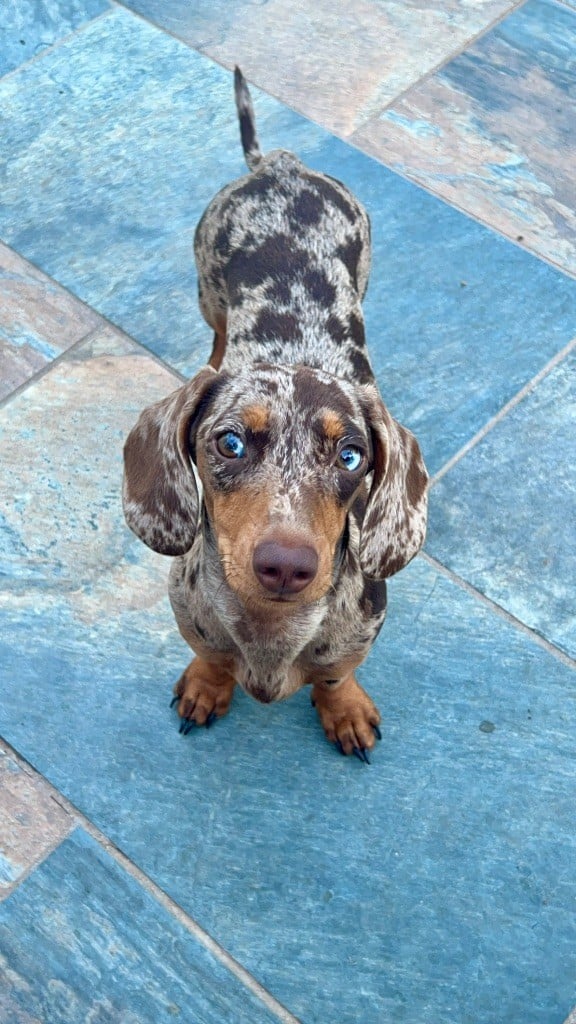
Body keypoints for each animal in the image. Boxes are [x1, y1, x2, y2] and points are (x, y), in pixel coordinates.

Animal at [121, 68, 426, 757]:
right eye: (229, 443)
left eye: (351, 456)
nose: (286, 565)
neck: (271, 633)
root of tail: (279, 164)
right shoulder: (190, 615)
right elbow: (209, 656)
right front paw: (207, 686)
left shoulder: (360, 632)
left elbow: (336, 674)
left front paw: (343, 708)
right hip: (206, 285)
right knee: (215, 330)